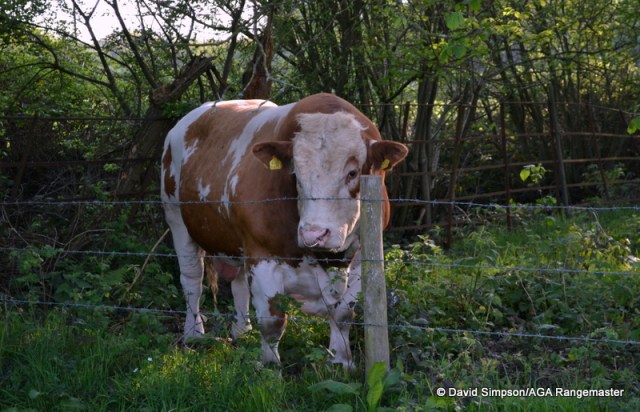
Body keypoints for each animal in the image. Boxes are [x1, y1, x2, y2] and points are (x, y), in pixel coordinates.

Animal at [161, 93, 407, 368]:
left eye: (352, 172)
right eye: (296, 174)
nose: (314, 234)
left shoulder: (362, 254)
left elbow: (344, 313)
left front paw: (342, 361)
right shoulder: (262, 256)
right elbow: (273, 322)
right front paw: (271, 367)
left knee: (238, 284)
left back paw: (242, 331)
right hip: (176, 218)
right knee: (192, 280)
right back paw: (193, 333)